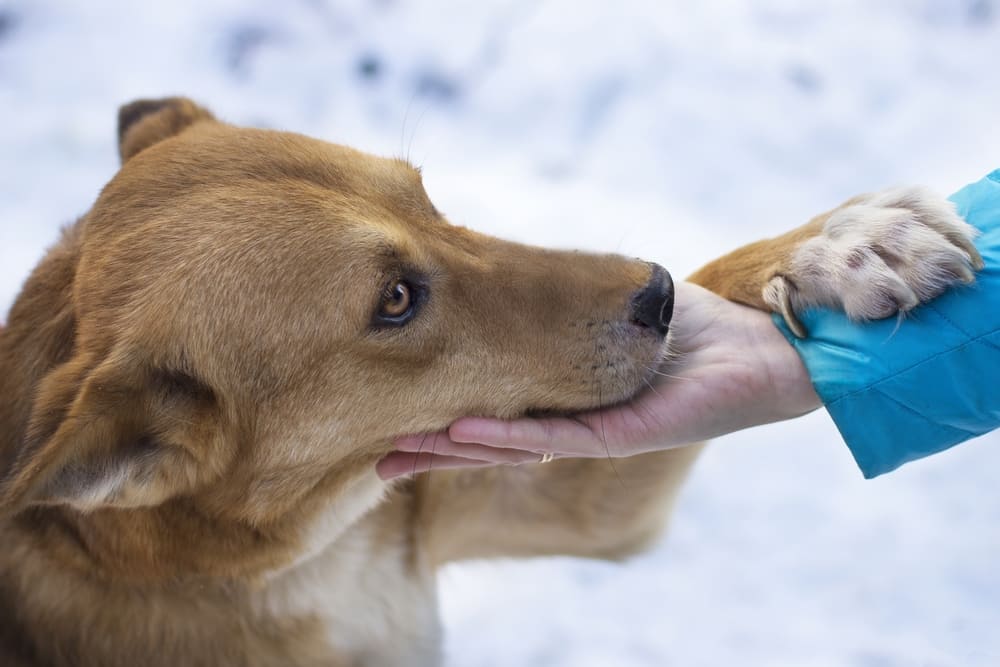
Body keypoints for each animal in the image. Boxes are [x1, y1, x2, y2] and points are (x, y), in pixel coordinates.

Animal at [0, 96, 984, 664]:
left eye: (426, 198)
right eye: (395, 299)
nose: (657, 294)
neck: (307, 557)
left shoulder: (559, 504)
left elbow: (728, 262)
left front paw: (837, 246)